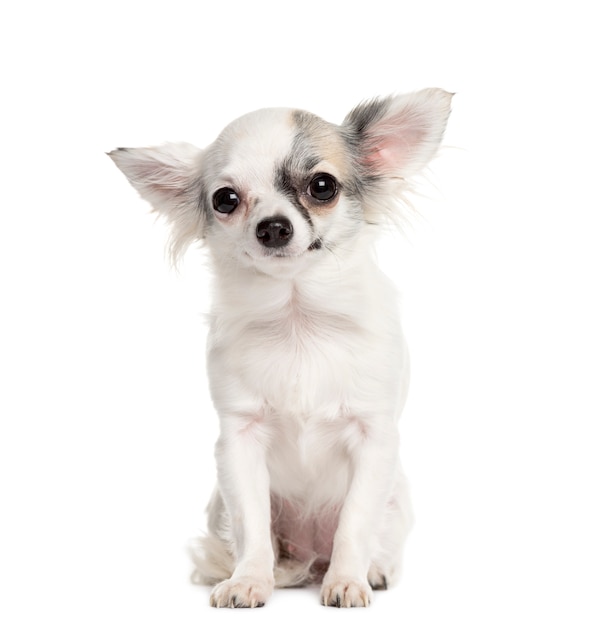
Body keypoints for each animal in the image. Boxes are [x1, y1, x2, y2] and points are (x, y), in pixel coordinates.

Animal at [110, 90, 452, 608]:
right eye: (225, 199)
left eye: (322, 186)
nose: (272, 226)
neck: (297, 320)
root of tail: (309, 554)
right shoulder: (238, 444)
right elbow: (251, 526)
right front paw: (249, 580)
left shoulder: (374, 441)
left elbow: (355, 523)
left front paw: (347, 581)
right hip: (219, 503)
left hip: (397, 499)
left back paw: (371, 569)